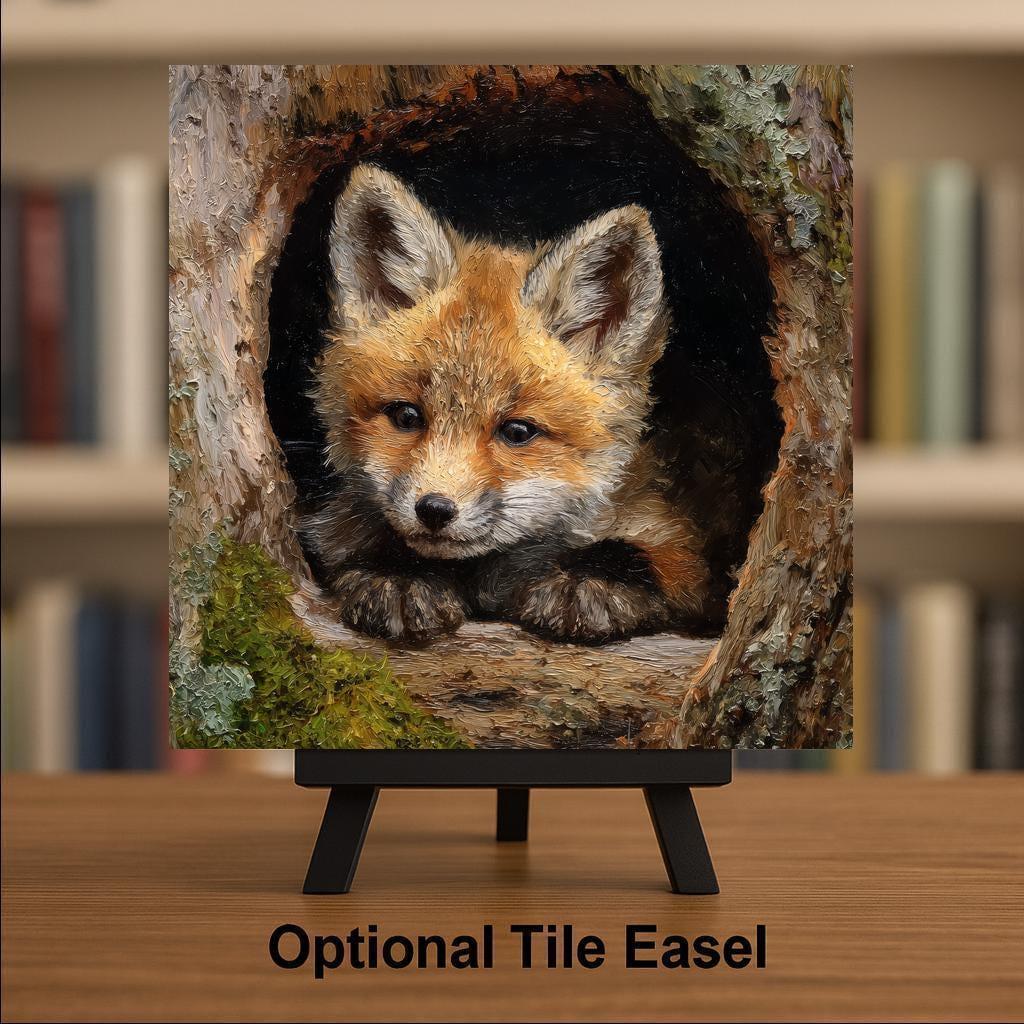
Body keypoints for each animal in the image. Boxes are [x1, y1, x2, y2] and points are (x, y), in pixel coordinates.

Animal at [303, 164, 712, 645]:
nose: (434, 510)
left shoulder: (667, 531)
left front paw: (590, 579)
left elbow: (647, 554)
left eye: (517, 432)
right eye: (406, 416)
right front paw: (400, 575)